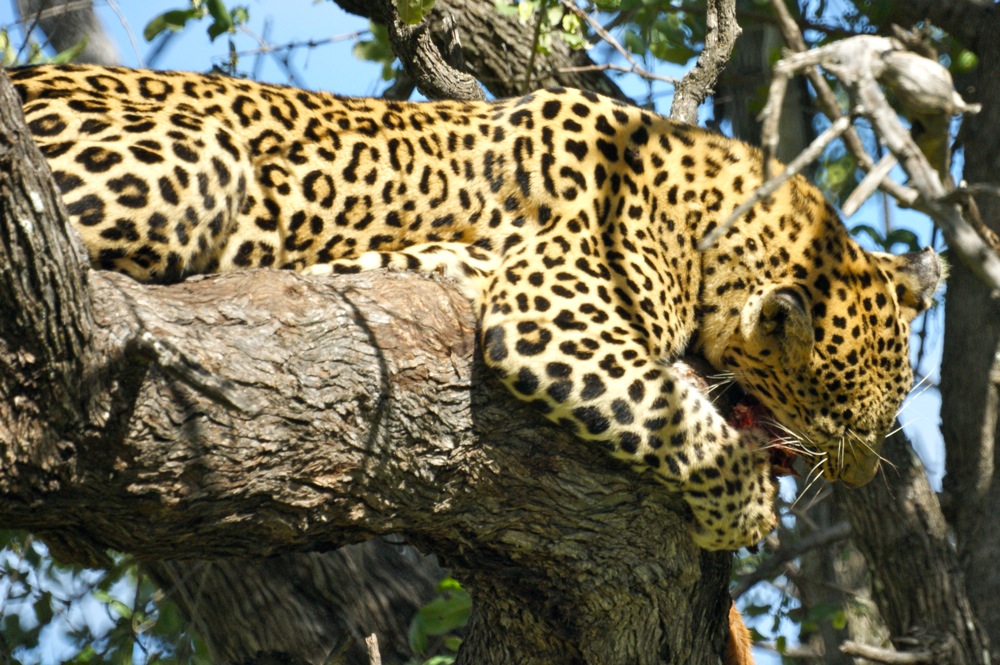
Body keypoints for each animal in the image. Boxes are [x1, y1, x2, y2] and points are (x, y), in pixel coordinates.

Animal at [9, 63, 944, 548]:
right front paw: (745, 506)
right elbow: (663, 408)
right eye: (839, 423)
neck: (714, 222)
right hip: (201, 159)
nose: (860, 478)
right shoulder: (550, 312)